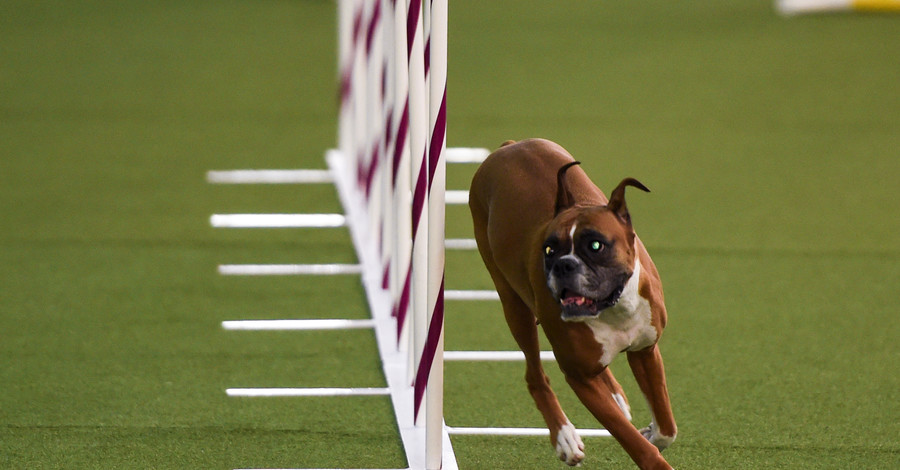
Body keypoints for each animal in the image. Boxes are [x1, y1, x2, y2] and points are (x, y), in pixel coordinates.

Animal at [472, 140, 676, 470]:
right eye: (549, 249)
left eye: (595, 245)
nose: (563, 265)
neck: (612, 308)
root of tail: (510, 145)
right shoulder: (580, 379)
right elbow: (630, 439)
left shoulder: (645, 351)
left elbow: (667, 426)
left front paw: (652, 433)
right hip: (514, 308)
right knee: (535, 375)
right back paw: (564, 437)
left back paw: (615, 395)